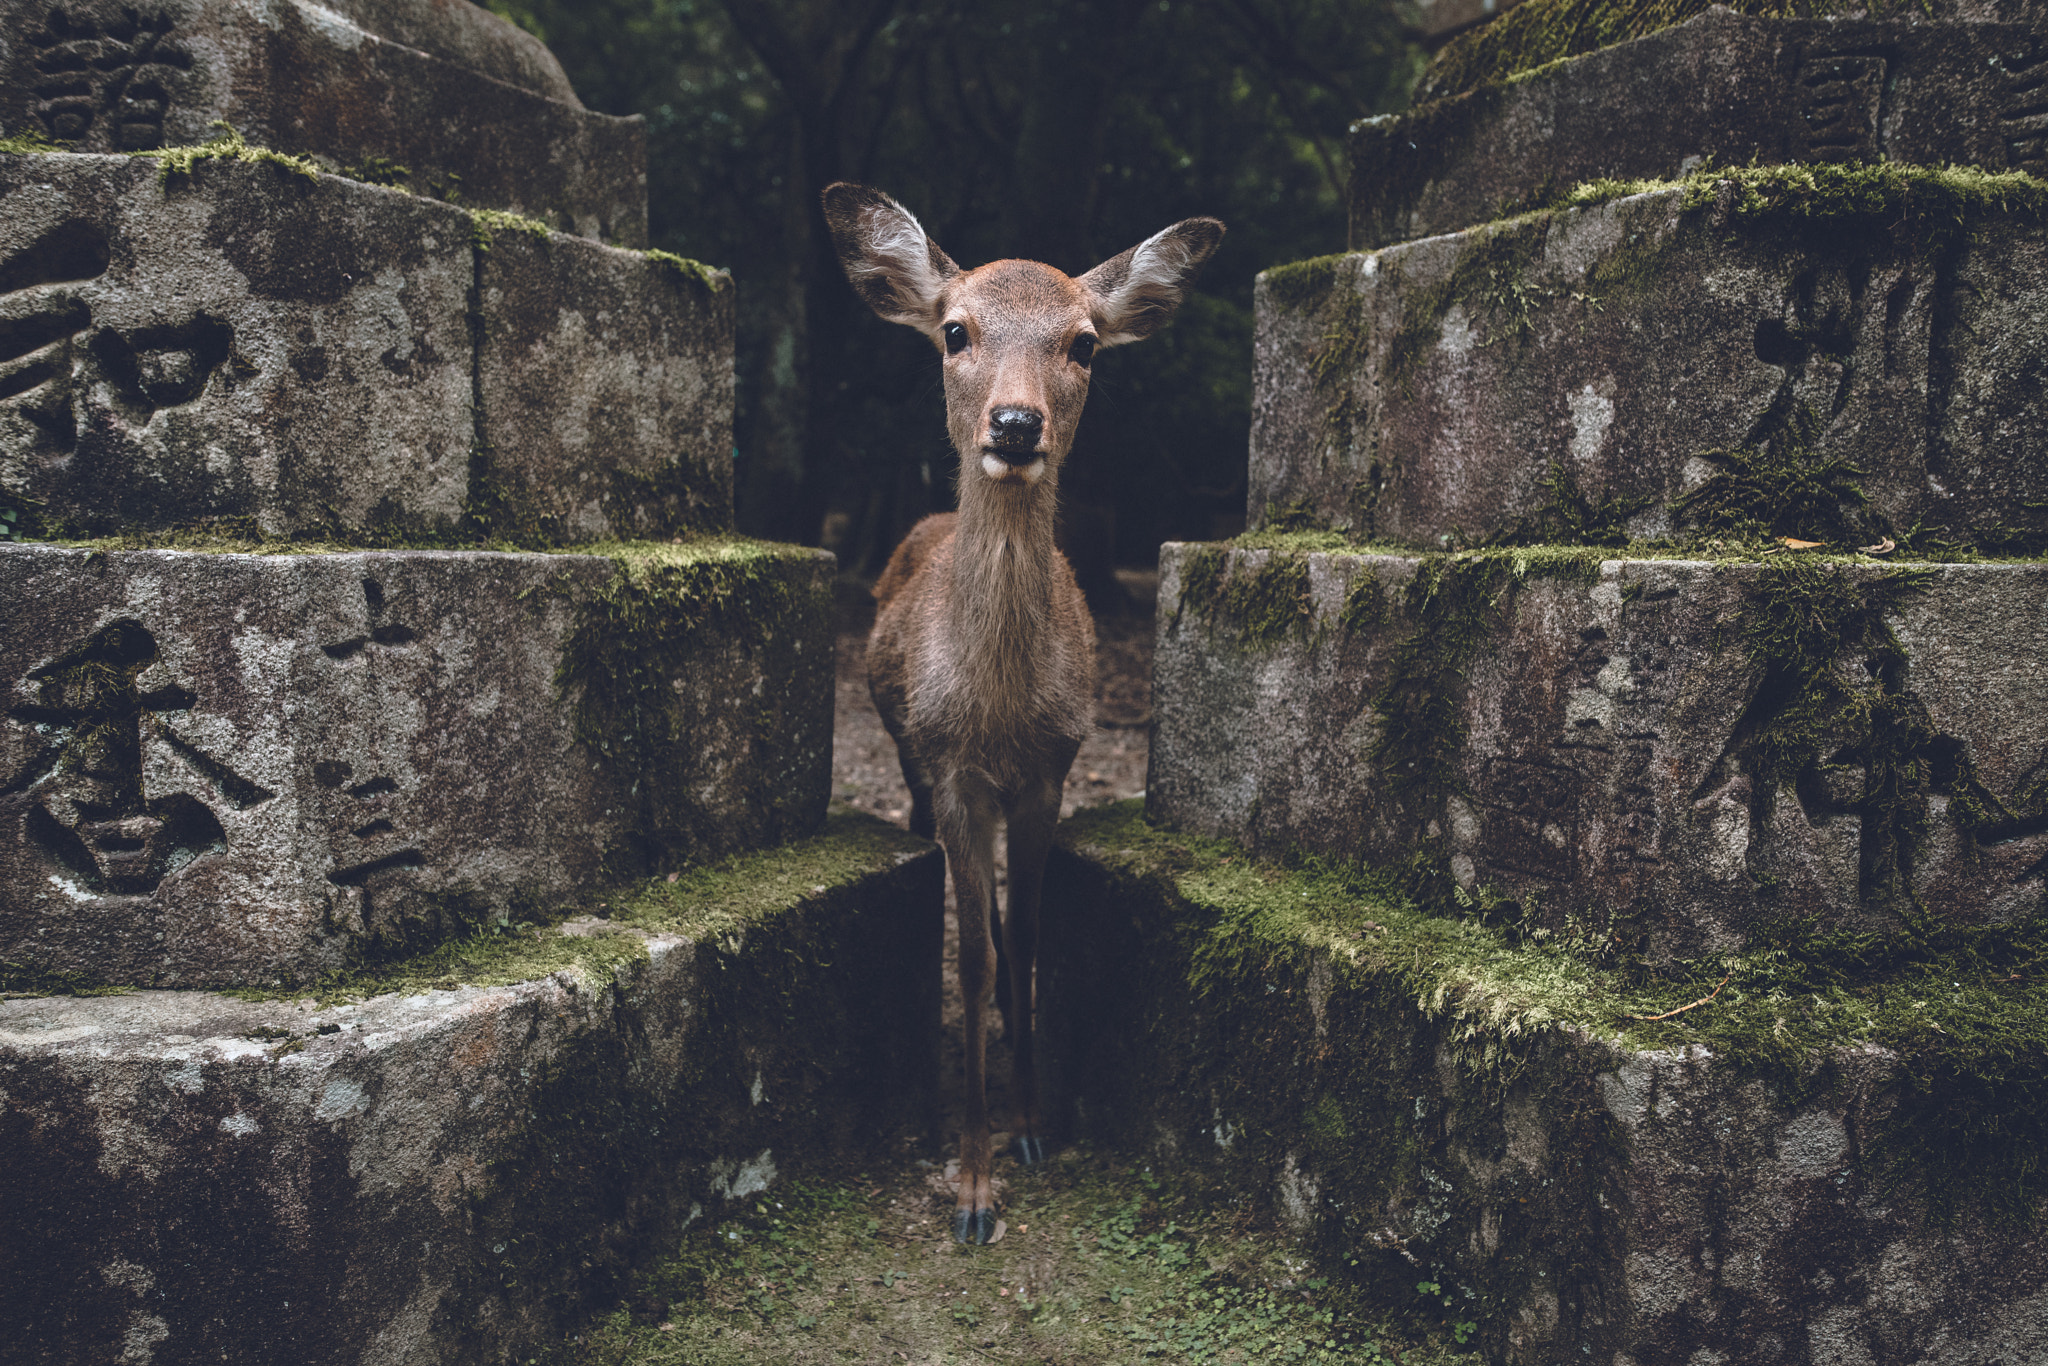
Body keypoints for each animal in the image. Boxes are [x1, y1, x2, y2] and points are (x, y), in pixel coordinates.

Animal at [823, 184, 1220, 1253]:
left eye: (1083, 343)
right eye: (954, 330)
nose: (1012, 423)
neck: (997, 710)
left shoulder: (1054, 767)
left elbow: (1029, 938)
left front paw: (1034, 1128)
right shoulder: (954, 768)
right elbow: (972, 956)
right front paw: (972, 1187)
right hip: (906, 751)